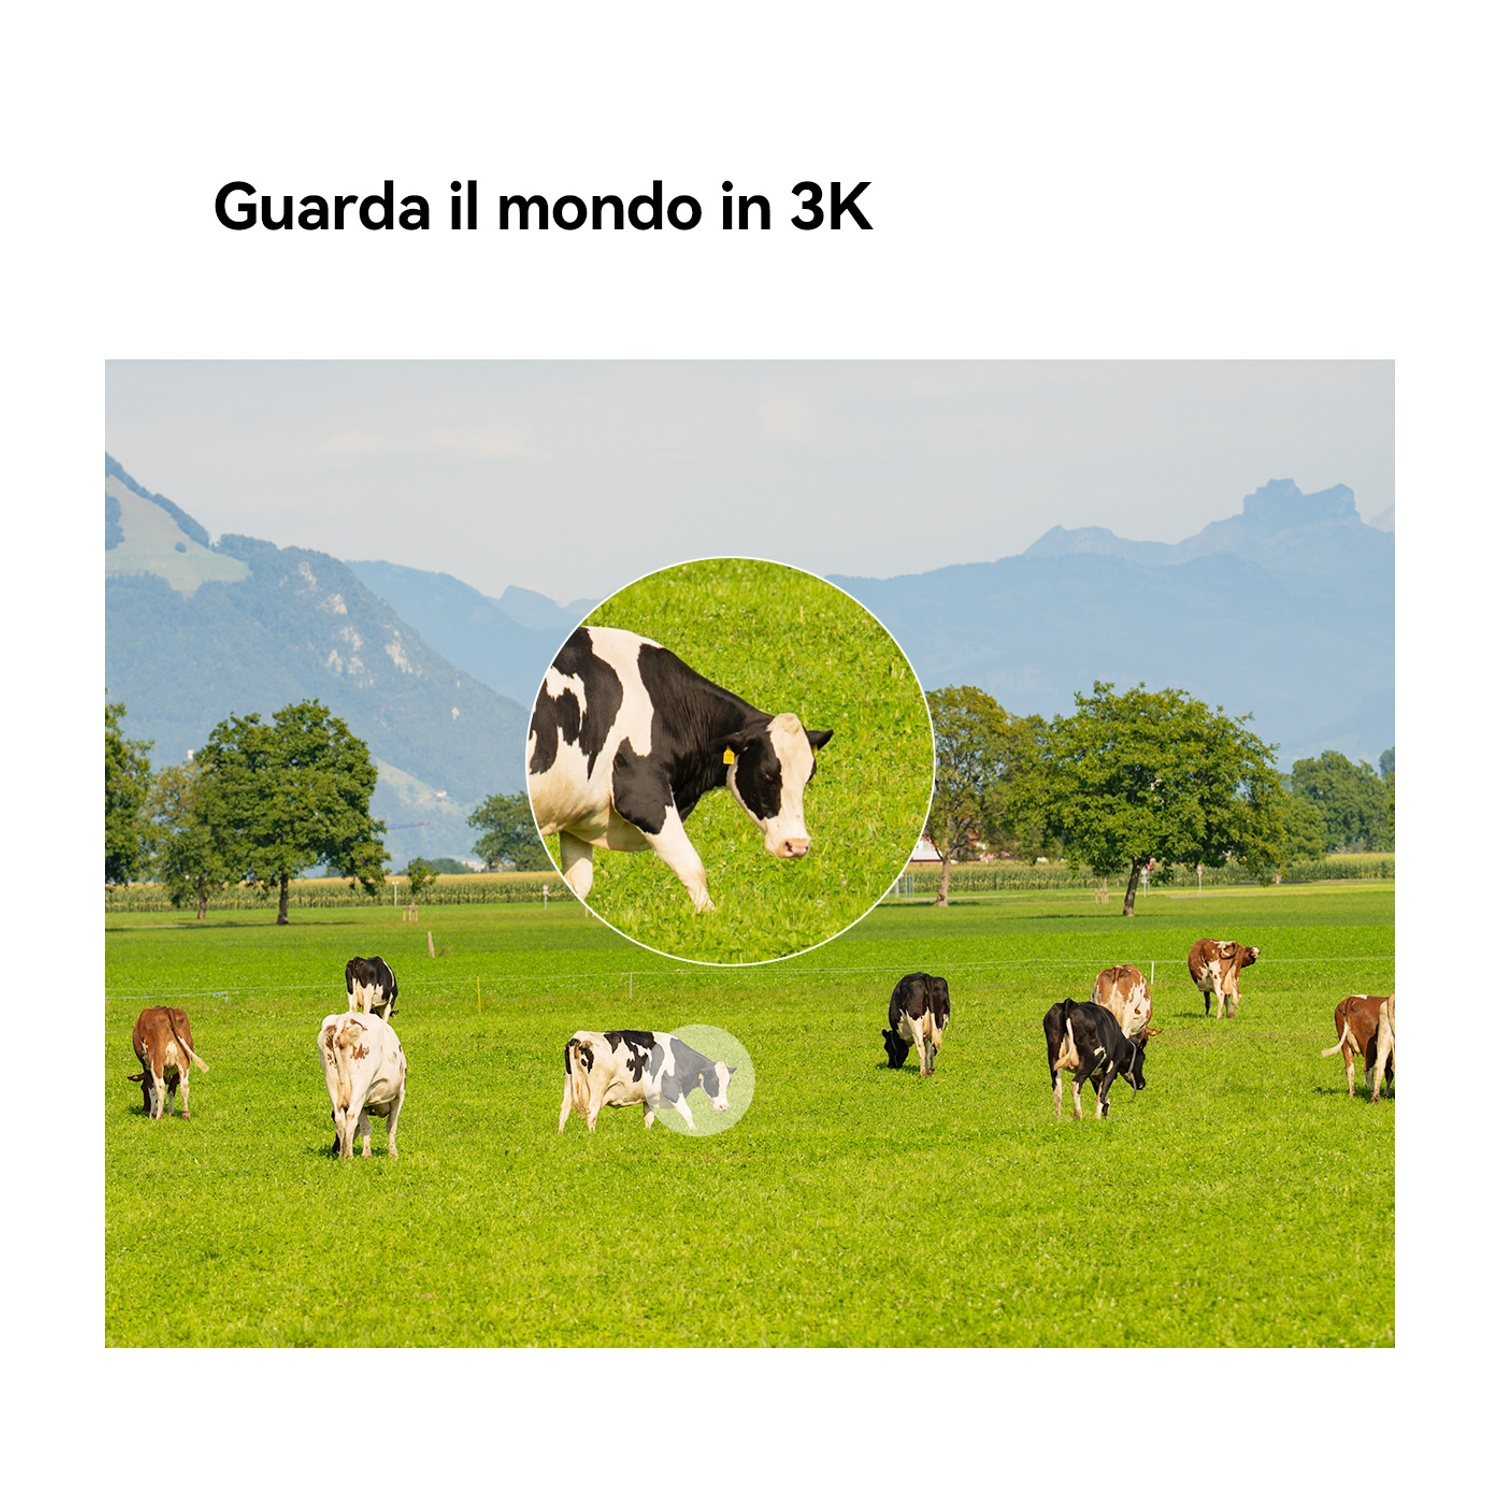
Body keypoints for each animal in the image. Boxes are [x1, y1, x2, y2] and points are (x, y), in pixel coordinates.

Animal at [318, 1011, 407, 1159]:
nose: (334, 1148)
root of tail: (344, 1020)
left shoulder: (364, 1102)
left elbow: (365, 1126)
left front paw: (366, 1154)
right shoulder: (399, 1093)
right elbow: (391, 1125)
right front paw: (393, 1153)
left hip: (331, 1081)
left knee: (341, 1119)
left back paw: (342, 1156)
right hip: (360, 1084)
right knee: (351, 1115)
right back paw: (348, 1155)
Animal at [528, 626, 833, 913]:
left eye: (808, 778)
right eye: (766, 773)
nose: (797, 844)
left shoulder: (576, 813)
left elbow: (579, 882)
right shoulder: (642, 796)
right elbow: (691, 865)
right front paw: (709, 916)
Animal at [558, 1029, 735, 1133]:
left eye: (728, 1083)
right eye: (714, 1082)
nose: (724, 1107)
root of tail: (581, 1036)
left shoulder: (648, 1097)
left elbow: (649, 1118)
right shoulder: (672, 1090)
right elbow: (688, 1114)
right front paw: (694, 1132)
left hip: (569, 1084)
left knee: (564, 1109)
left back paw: (561, 1133)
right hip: (598, 1088)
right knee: (592, 1111)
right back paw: (592, 1135)